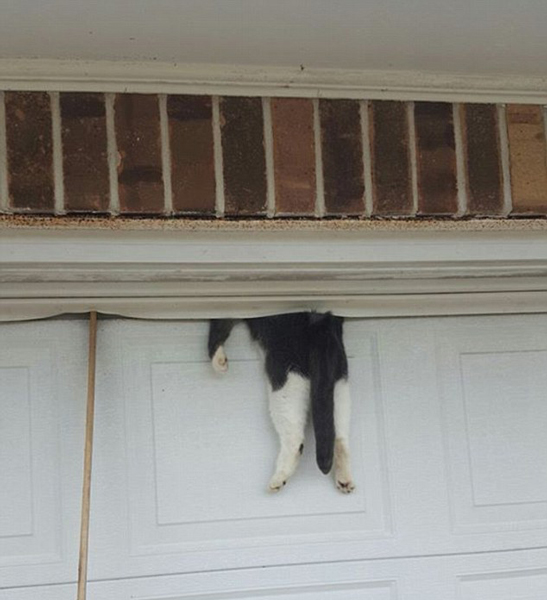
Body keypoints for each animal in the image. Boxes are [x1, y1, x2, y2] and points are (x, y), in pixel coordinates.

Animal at [208, 312, 354, 494]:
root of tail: (321, 320)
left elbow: (217, 327)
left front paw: (218, 360)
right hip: (339, 380)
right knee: (340, 435)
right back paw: (344, 479)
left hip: (285, 377)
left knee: (295, 438)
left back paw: (279, 478)